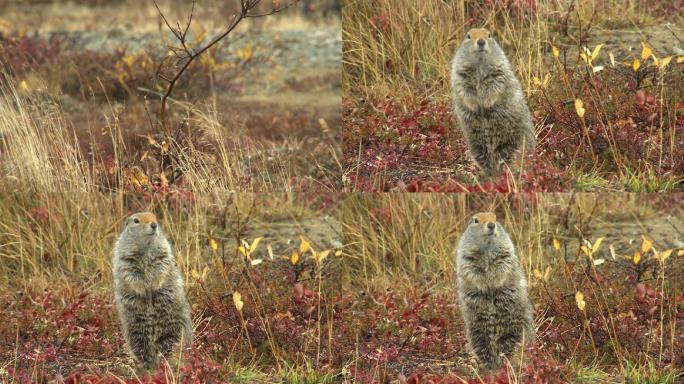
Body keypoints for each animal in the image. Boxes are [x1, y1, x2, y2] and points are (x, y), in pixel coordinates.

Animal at [113, 212, 192, 370]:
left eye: (155, 217)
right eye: (136, 220)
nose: (154, 225)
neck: (146, 246)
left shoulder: (163, 252)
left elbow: (162, 267)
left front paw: (154, 287)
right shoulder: (125, 258)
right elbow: (130, 274)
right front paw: (144, 290)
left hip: (175, 331)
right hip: (135, 334)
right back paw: (146, 366)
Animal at [452, 27, 536, 176]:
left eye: (489, 35)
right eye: (468, 36)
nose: (481, 41)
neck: (480, 64)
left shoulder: (499, 70)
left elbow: (496, 86)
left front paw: (486, 105)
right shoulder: (460, 73)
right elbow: (463, 89)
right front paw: (475, 106)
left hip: (517, 143)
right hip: (476, 145)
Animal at [456, 212, 536, 370]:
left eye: (495, 218)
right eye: (476, 220)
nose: (492, 225)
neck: (487, 248)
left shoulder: (506, 252)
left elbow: (504, 267)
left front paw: (495, 285)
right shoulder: (466, 256)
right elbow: (471, 271)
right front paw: (485, 287)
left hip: (517, 331)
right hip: (476, 333)